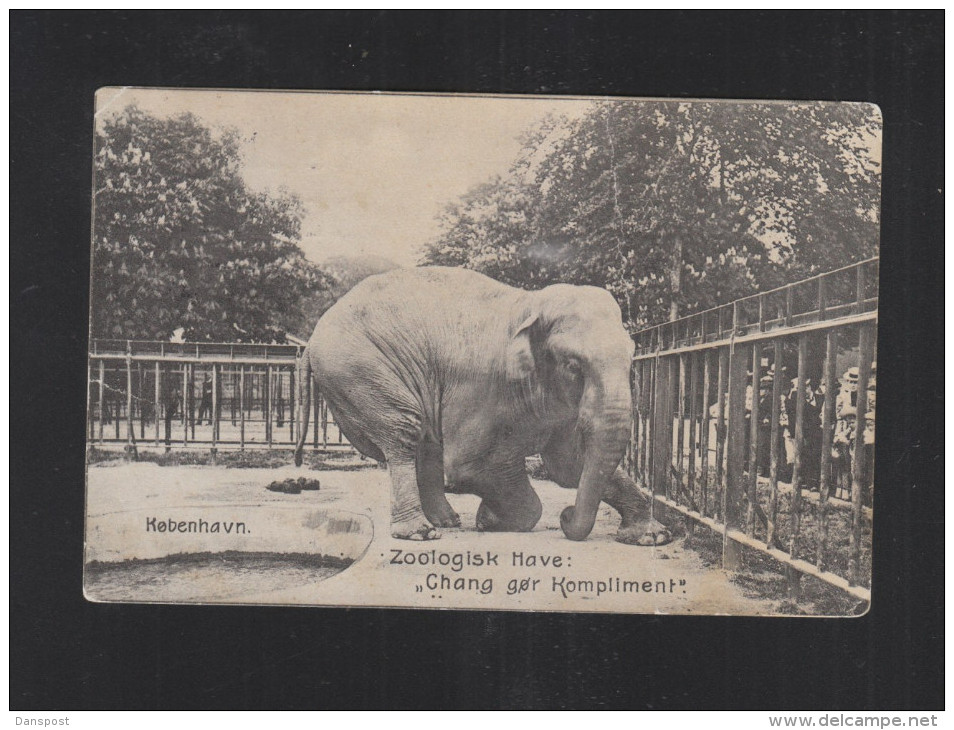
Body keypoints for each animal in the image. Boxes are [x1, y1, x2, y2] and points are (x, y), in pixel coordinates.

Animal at [294, 266, 671, 546]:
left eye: (632, 358)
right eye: (574, 365)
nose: (565, 516)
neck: (530, 304)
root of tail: (311, 341)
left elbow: (569, 465)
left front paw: (653, 537)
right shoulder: (480, 384)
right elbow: (468, 466)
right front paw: (490, 520)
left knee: (423, 442)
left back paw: (446, 521)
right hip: (360, 371)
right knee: (403, 433)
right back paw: (421, 533)